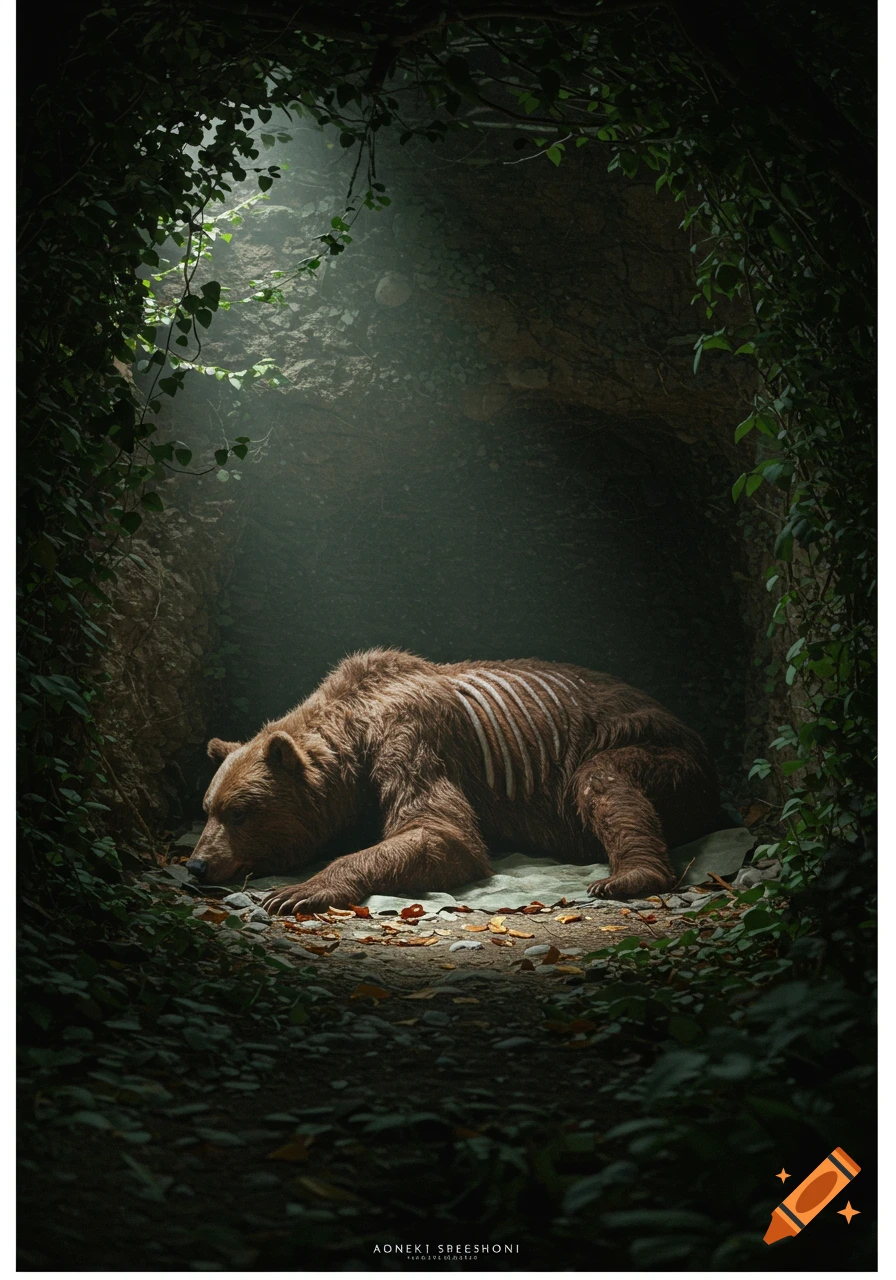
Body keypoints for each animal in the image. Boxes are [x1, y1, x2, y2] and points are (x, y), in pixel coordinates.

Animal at [185, 648, 720, 913]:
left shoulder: (412, 736)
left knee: (603, 782)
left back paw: (627, 877)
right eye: (207, 808)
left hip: (657, 749)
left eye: (240, 812)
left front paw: (297, 891)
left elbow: (444, 831)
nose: (196, 865)